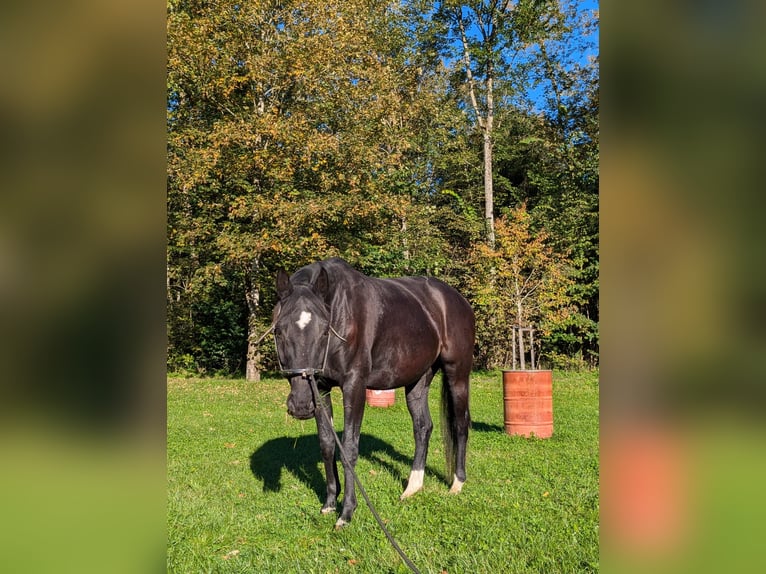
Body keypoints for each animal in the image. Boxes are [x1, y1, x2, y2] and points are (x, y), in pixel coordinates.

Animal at [270, 260, 474, 532]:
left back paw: (457, 484)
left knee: (460, 424)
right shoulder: (320, 389)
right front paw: (329, 503)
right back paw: (412, 487)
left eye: (324, 331)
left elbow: (348, 449)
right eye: (279, 331)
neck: (340, 310)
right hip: (418, 380)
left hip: (457, 374)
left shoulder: (354, 387)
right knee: (422, 427)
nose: (301, 405)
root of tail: (457, 299)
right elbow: (327, 444)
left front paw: (346, 512)